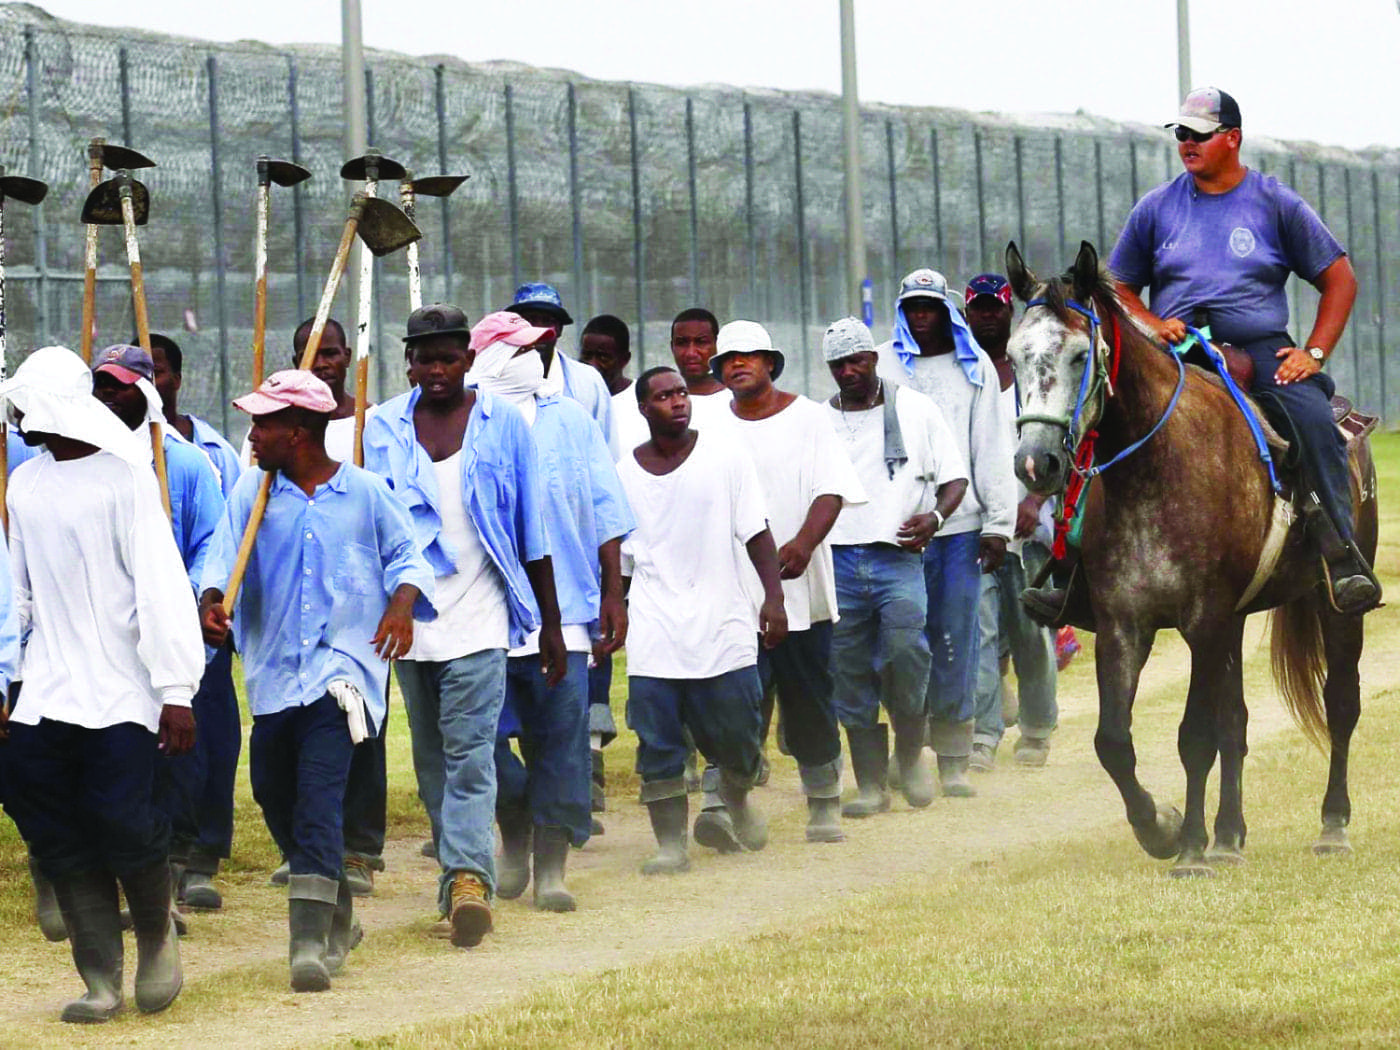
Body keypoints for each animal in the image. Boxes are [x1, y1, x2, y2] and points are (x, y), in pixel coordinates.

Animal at [1002, 242, 1372, 873]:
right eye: (1013, 356)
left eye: (1079, 355)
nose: (1036, 462)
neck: (1156, 467)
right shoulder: (1126, 624)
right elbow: (1114, 742)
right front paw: (1165, 828)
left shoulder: (1202, 620)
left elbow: (1194, 737)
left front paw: (1191, 849)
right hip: (1235, 622)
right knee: (1237, 722)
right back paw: (1229, 836)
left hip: (1333, 605)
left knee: (1341, 703)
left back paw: (1332, 826)